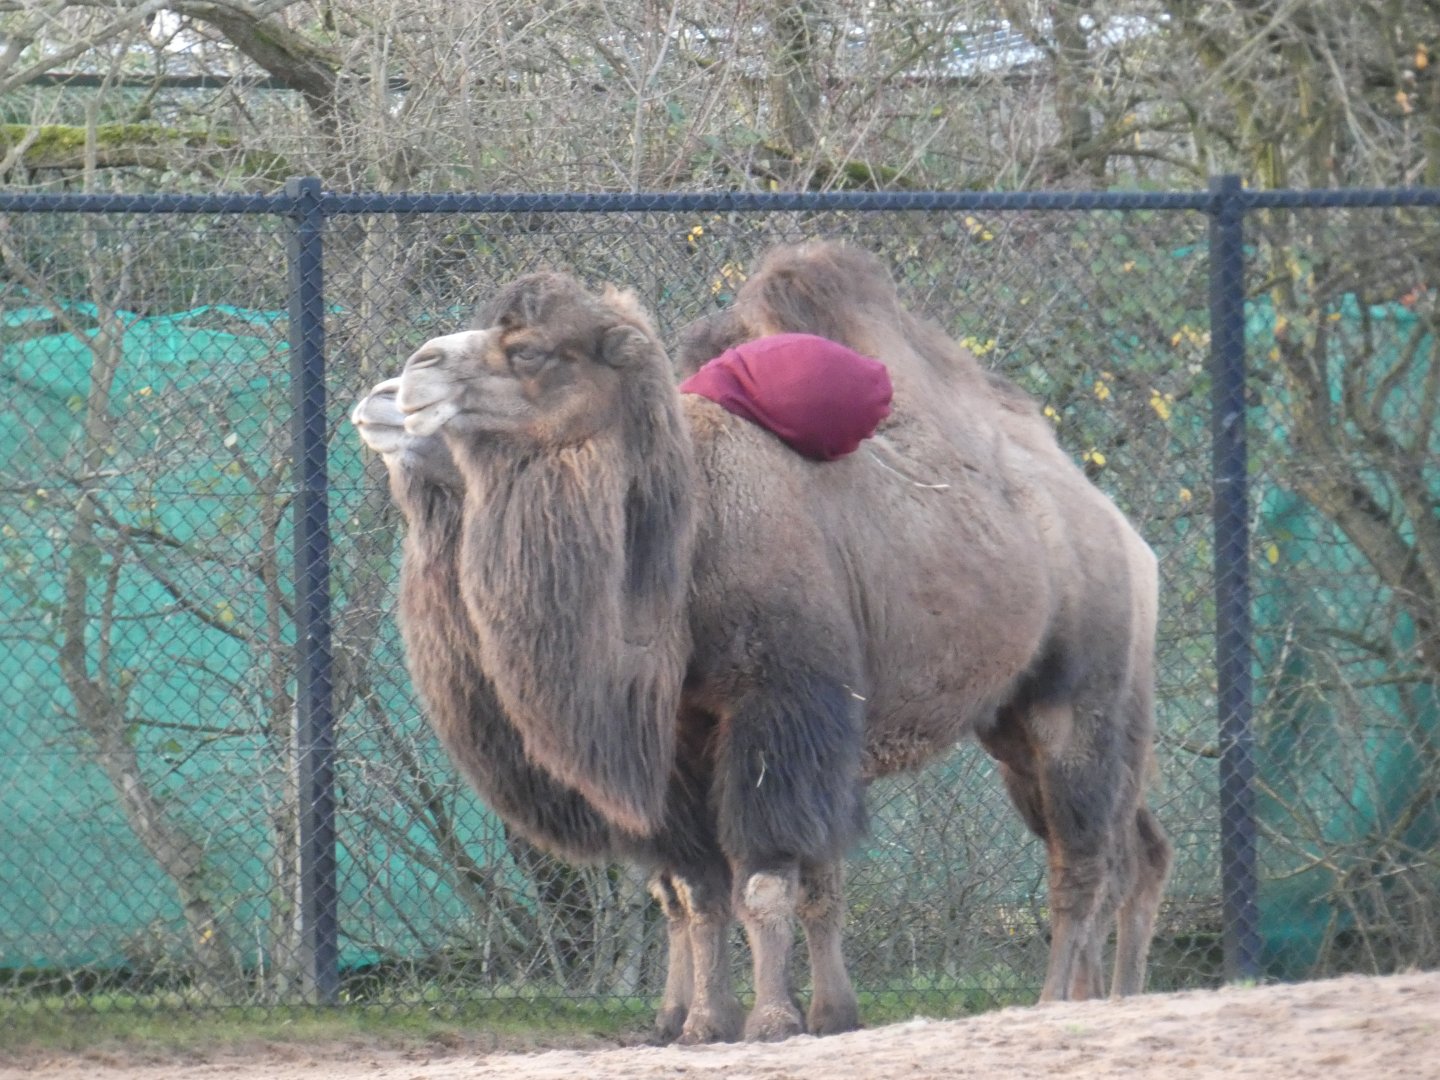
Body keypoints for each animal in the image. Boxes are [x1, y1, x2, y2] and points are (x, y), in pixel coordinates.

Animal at [350, 242, 1172, 1044]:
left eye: (531, 351)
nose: (397, 386)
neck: (690, 534)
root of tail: (1125, 534)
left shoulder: (780, 709)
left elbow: (768, 882)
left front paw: (774, 1020)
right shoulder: (687, 737)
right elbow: (704, 891)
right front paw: (710, 1023)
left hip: (1080, 703)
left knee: (1084, 859)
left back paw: (1057, 998)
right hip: (1008, 731)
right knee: (1128, 848)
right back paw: (1107, 991)